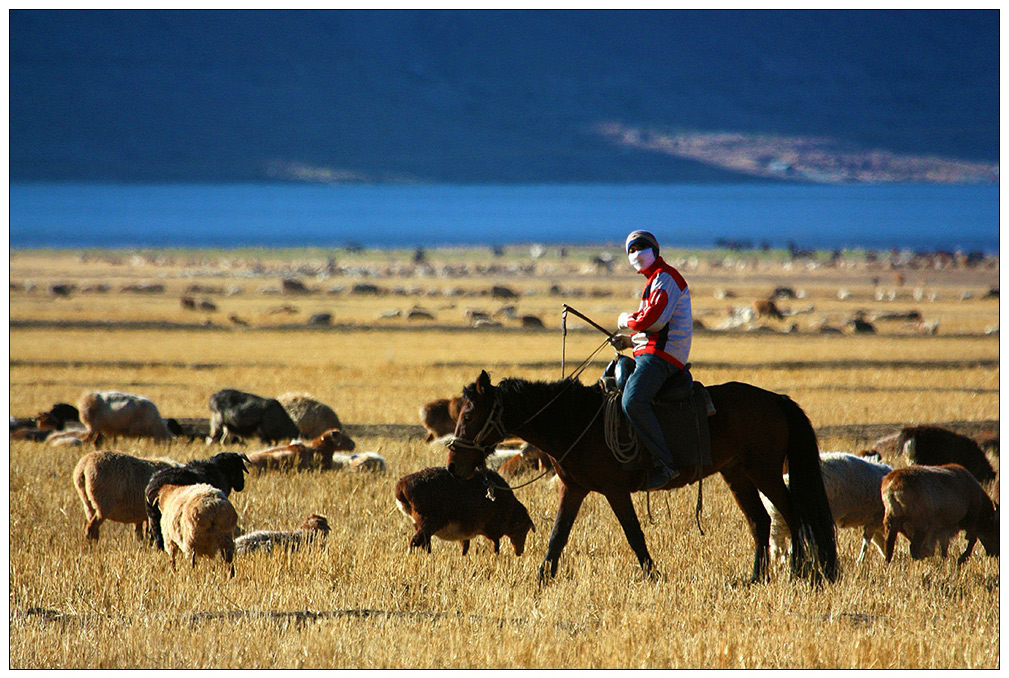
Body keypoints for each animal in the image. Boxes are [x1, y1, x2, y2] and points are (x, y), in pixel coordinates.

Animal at [393, 466, 536, 556]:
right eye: (524, 529)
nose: (519, 553)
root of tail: (401, 487)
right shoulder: (493, 529)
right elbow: (496, 545)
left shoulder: (466, 532)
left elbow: (465, 547)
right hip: (428, 523)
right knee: (415, 542)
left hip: (419, 524)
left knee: (424, 544)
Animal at [447, 367, 835, 585]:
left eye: (469, 415)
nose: (453, 466)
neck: (576, 421)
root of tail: (776, 399)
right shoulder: (573, 489)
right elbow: (558, 535)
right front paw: (541, 578)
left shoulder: (614, 490)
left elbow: (634, 534)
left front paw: (652, 575)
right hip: (736, 473)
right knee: (759, 520)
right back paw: (756, 578)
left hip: (764, 471)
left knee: (792, 513)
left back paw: (799, 573)